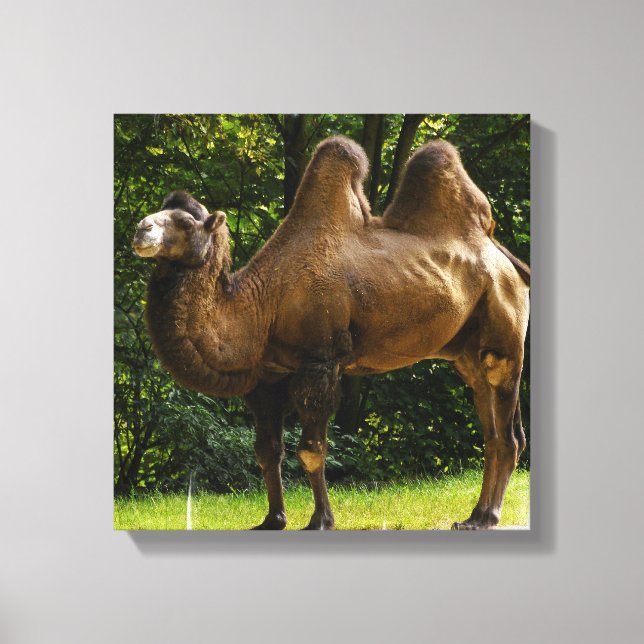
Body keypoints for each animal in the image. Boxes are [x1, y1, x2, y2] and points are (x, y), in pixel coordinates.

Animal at [131, 136, 530, 530]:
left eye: (186, 223)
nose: (140, 229)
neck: (263, 303)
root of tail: (509, 263)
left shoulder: (319, 360)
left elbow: (311, 450)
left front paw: (320, 520)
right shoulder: (266, 377)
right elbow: (266, 453)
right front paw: (272, 520)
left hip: (504, 331)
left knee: (507, 432)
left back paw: (487, 517)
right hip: (468, 354)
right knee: (491, 426)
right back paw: (474, 516)